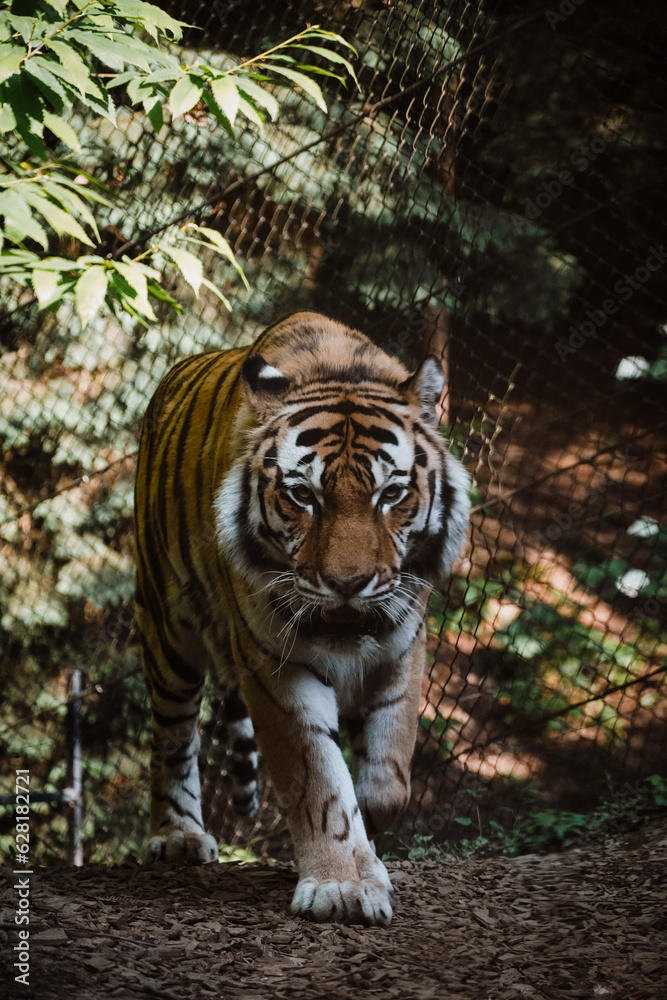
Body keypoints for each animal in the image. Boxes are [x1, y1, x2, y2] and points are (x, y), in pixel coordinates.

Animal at [134, 311, 470, 926]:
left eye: (392, 494)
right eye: (303, 496)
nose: (347, 584)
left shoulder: (404, 643)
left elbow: (389, 777)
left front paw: (370, 841)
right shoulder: (273, 666)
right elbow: (317, 778)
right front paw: (341, 885)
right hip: (167, 628)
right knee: (172, 736)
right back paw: (177, 836)